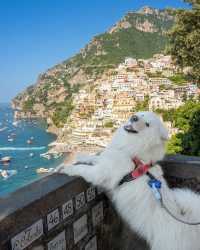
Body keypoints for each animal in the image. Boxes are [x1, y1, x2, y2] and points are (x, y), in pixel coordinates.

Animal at [57, 112, 200, 250]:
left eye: (147, 124)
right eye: (141, 114)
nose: (134, 117)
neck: (133, 153)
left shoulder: (101, 172)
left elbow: (82, 169)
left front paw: (67, 168)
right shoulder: (106, 159)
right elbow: (94, 158)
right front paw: (81, 156)